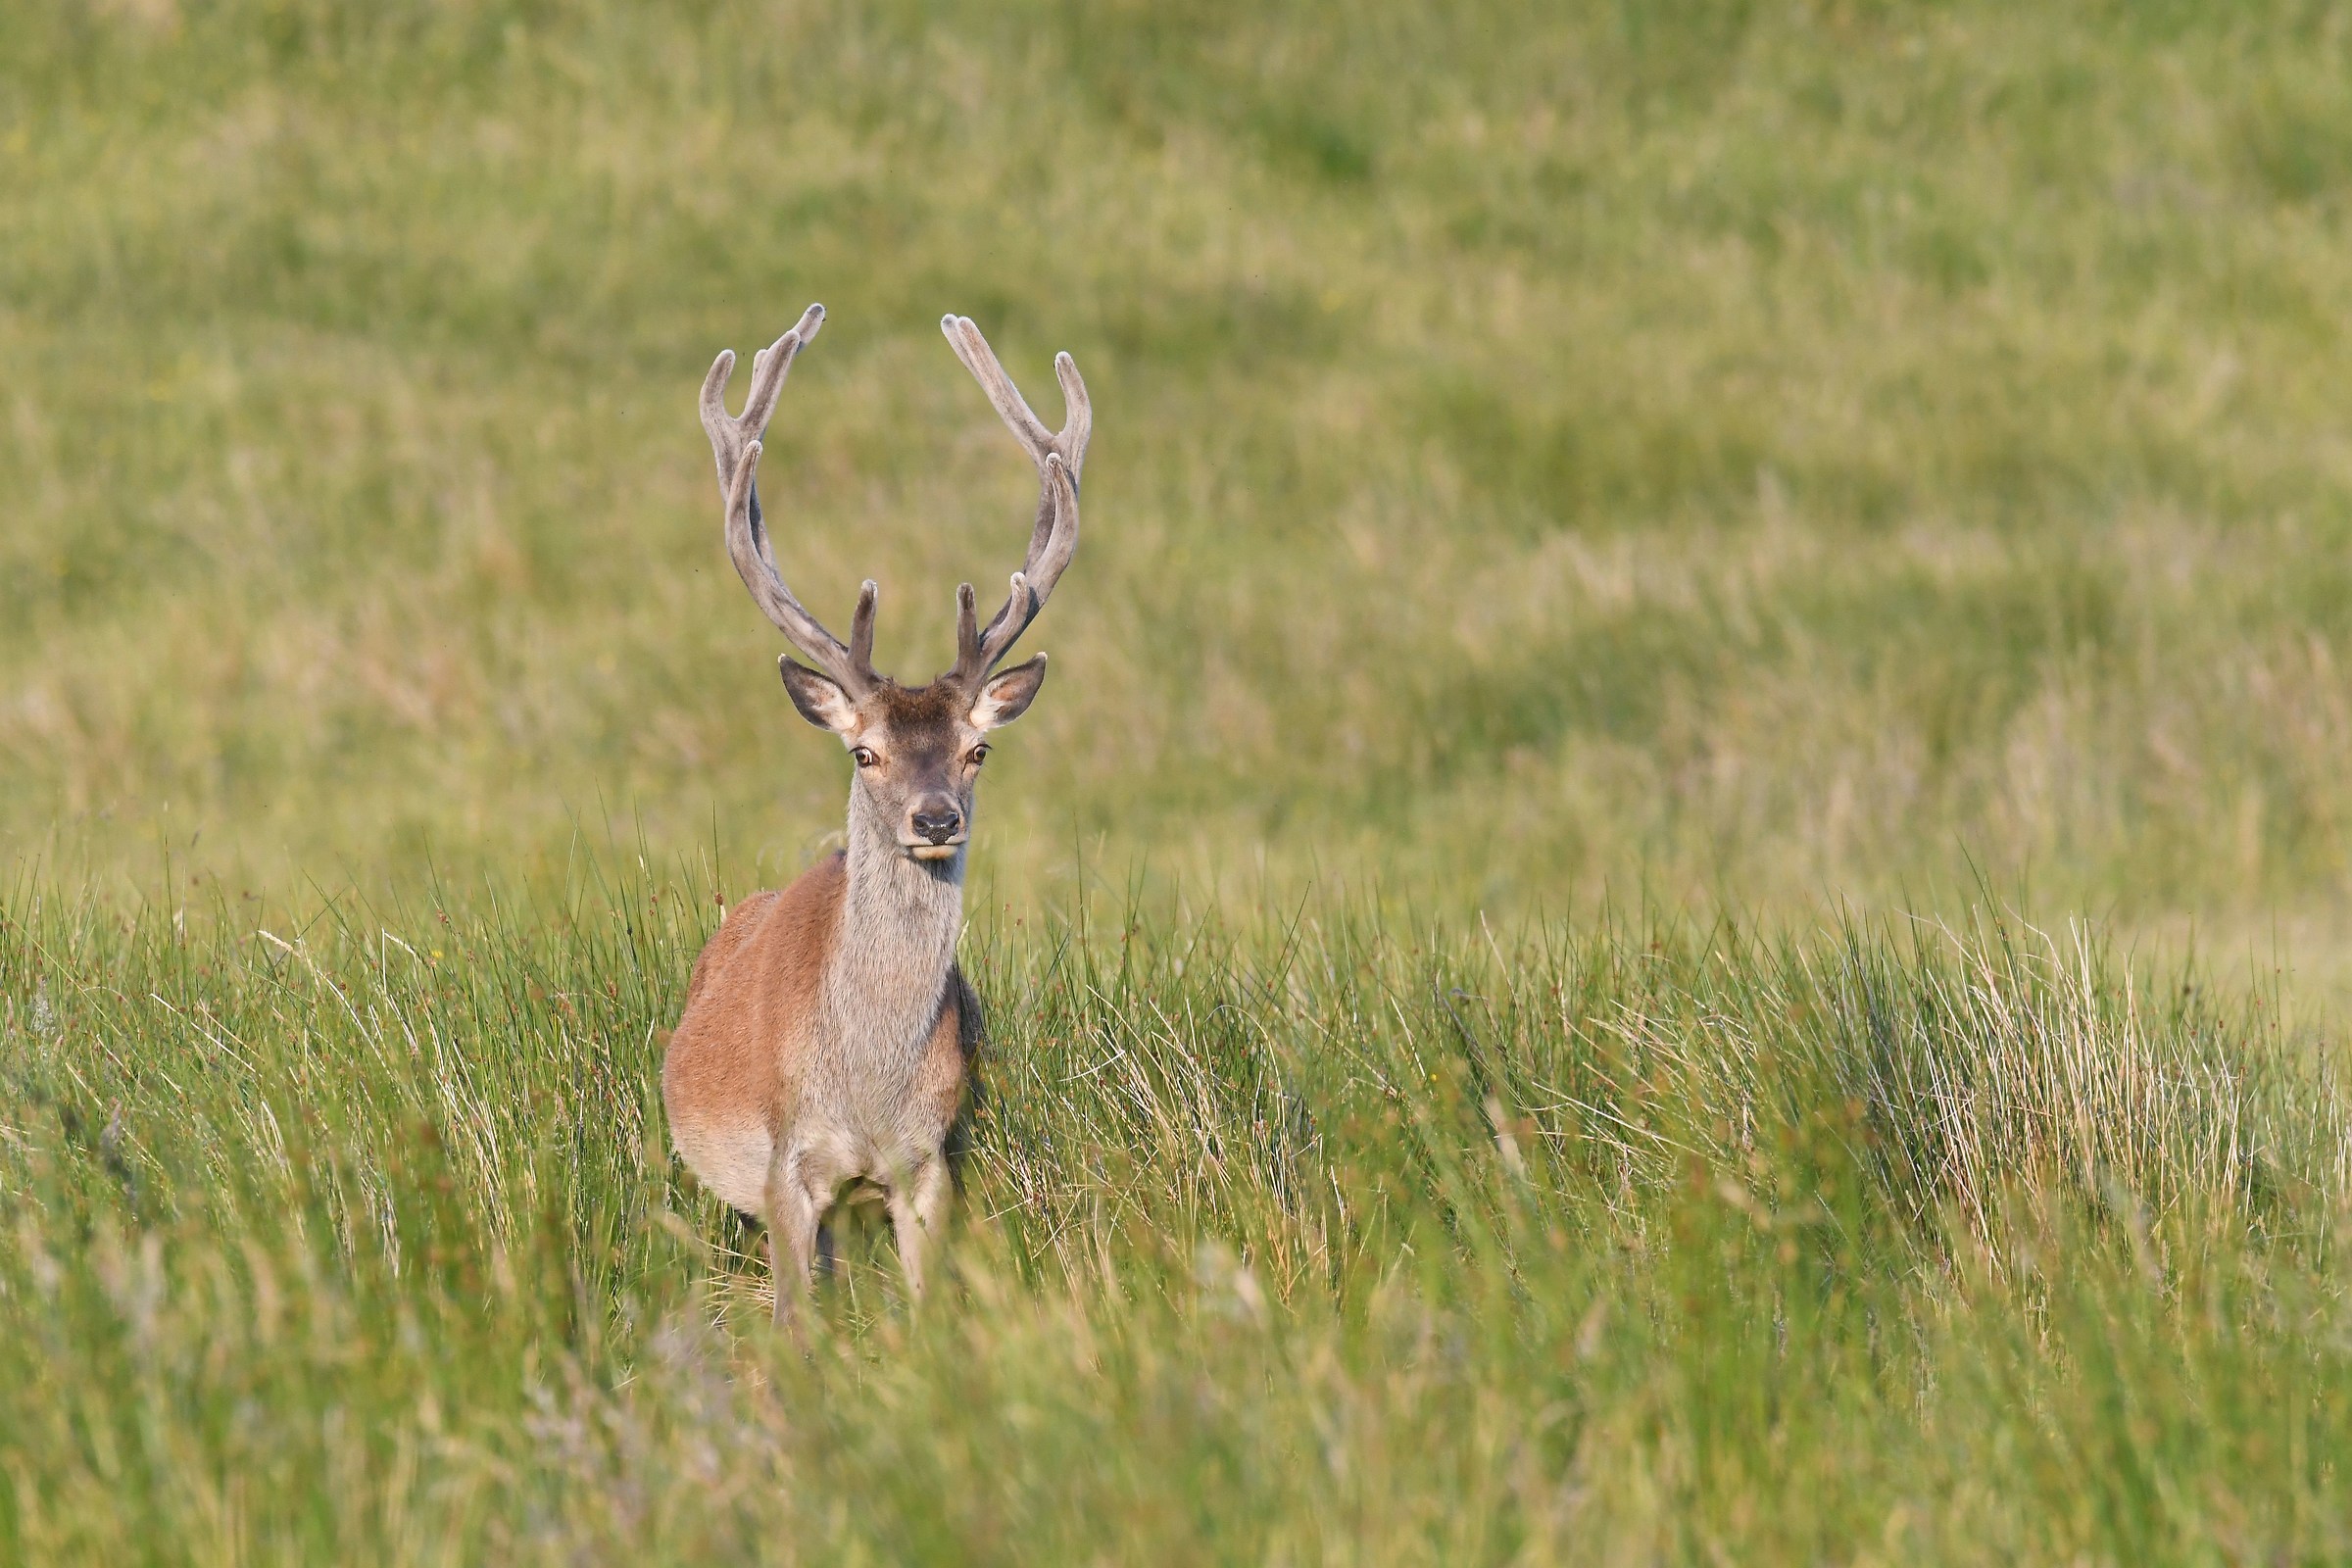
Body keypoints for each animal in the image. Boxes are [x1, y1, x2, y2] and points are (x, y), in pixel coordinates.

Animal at [661, 303, 1089, 1333]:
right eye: (866, 753)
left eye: (978, 750)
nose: (934, 820)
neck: (866, 1093)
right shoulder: (785, 1169)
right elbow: (793, 1329)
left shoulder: (927, 1163)